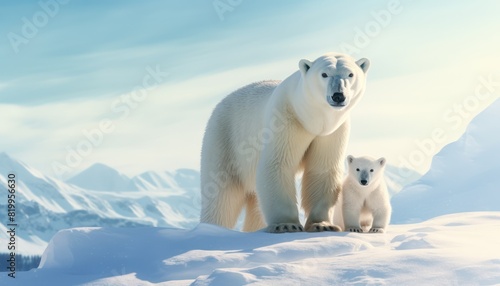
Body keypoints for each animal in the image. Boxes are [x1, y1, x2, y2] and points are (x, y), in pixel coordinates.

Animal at [201, 52, 370, 233]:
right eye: (324, 74)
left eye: (350, 74)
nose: (338, 95)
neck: (310, 118)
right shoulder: (285, 119)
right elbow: (278, 163)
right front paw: (286, 225)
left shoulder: (333, 132)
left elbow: (322, 169)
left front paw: (323, 225)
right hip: (225, 139)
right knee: (222, 195)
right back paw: (211, 227)